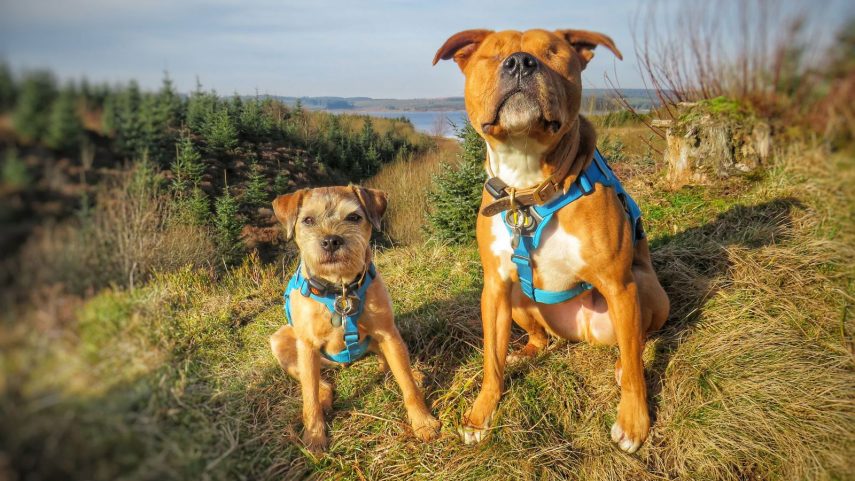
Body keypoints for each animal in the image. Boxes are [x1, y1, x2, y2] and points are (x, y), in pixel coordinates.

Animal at [270, 184, 442, 450]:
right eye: (307, 220)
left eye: (353, 217)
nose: (331, 240)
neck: (339, 288)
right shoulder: (307, 347)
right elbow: (309, 398)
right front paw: (314, 437)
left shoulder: (387, 333)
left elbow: (406, 383)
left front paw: (422, 421)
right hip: (281, 342)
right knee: (317, 383)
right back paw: (324, 397)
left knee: (389, 363)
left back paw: (413, 373)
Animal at [438, 29, 672, 450]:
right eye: (492, 54)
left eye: (553, 53)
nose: (519, 62)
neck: (528, 185)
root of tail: (578, 332)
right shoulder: (494, 288)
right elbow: (491, 361)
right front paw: (482, 413)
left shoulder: (619, 283)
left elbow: (634, 368)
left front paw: (635, 422)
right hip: (519, 299)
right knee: (541, 337)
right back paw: (527, 351)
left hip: (643, 288)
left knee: (635, 343)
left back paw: (621, 363)